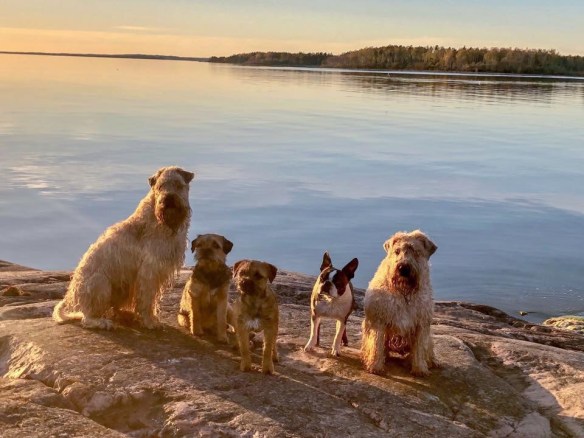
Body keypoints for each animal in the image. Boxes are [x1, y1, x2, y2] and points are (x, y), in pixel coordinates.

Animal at [53, 166, 194, 330]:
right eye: (160, 187)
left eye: (178, 185)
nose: (168, 199)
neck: (161, 222)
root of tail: (73, 296)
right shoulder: (149, 270)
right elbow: (147, 299)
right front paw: (149, 321)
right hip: (100, 284)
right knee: (88, 317)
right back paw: (103, 322)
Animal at [361, 230, 438, 376]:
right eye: (397, 251)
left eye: (416, 252)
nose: (403, 268)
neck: (404, 293)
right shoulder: (379, 320)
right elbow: (377, 345)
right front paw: (376, 367)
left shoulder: (421, 323)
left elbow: (420, 348)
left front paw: (420, 368)